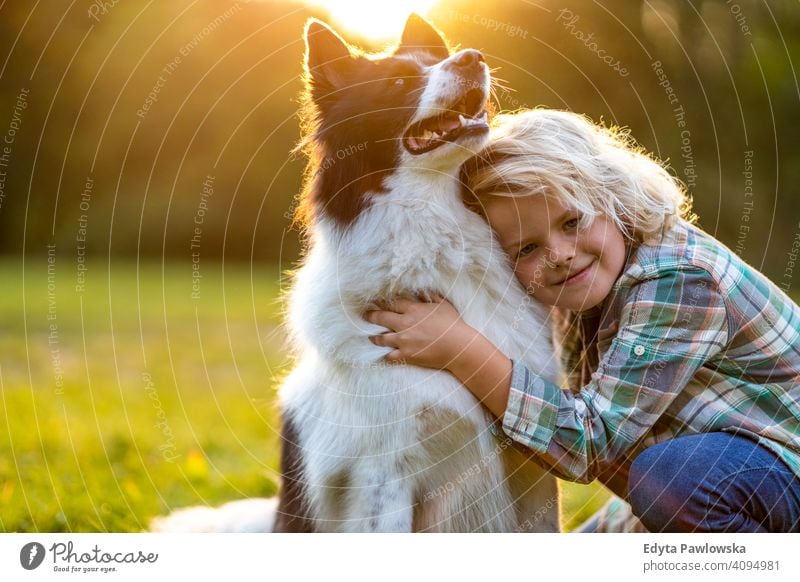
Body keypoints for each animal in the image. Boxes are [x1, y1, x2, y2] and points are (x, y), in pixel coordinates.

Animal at [152, 13, 564, 536]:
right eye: (398, 83)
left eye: (438, 61)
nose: (473, 57)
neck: (435, 238)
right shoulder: (385, 473)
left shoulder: (529, 462)